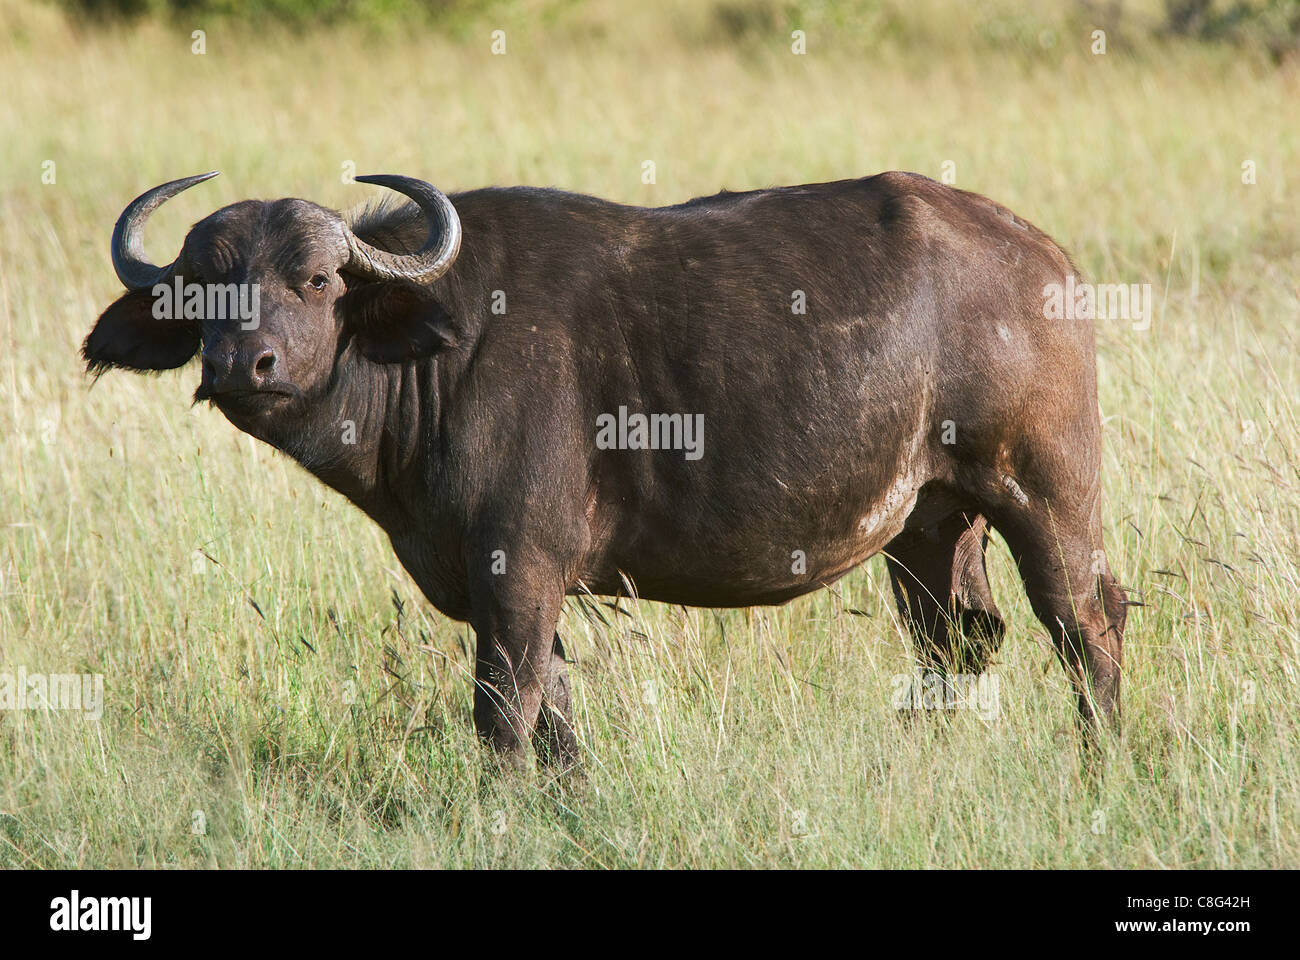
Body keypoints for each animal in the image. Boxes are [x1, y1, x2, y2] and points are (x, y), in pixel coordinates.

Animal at [84, 171, 1127, 770]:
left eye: (314, 280)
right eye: (200, 289)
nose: (240, 365)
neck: (436, 356)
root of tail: (1044, 255)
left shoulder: (518, 571)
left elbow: (503, 715)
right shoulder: (517, 588)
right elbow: (555, 716)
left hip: (1046, 497)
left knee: (1087, 627)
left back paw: (1101, 765)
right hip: (928, 525)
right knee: (959, 644)